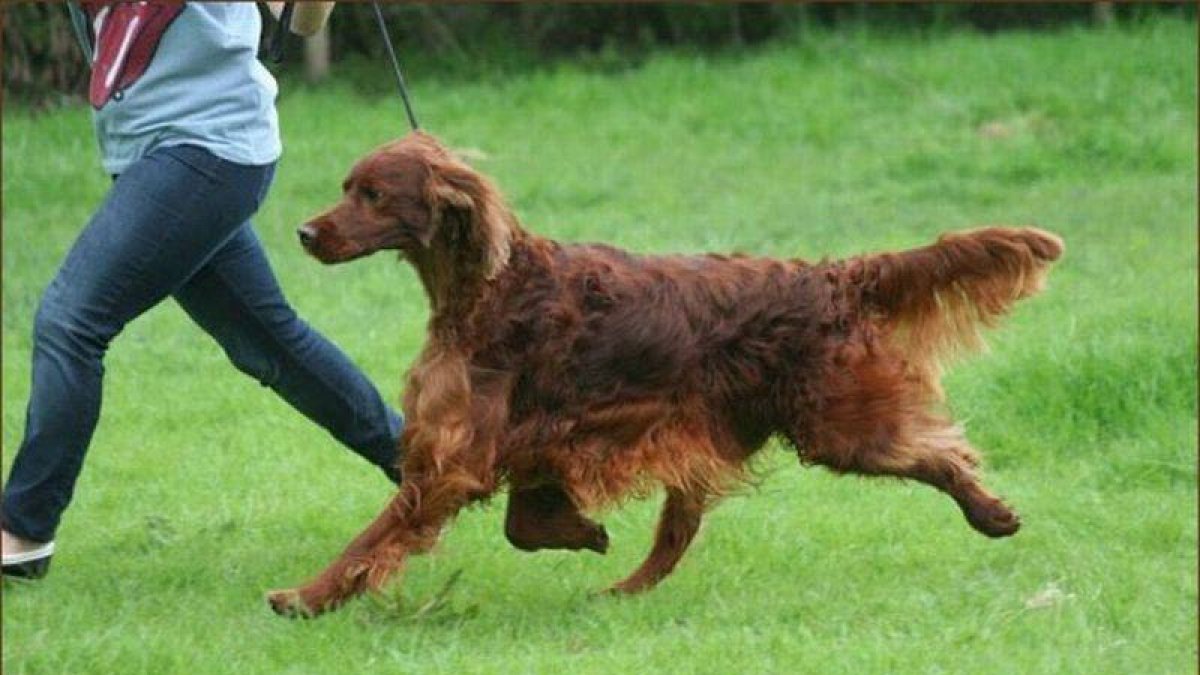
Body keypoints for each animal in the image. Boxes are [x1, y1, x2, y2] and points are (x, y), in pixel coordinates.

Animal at [267, 131, 1065, 614]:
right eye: (346, 185)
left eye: (373, 194)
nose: (305, 233)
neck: (490, 287)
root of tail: (832, 276)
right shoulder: (534, 438)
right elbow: (524, 523)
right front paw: (581, 531)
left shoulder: (457, 457)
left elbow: (377, 536)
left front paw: (306, 596)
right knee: (678, 533)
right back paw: (624, 588)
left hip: (837, 423)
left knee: (942, 451)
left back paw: (991, 514)